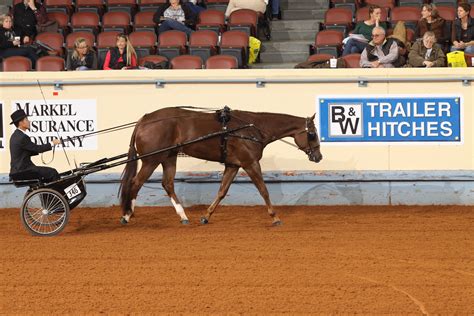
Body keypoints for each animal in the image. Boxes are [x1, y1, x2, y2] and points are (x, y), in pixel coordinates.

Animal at [120, 107, 324, 226]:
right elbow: (263, 190)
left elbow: (222, 191)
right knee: (136, 182)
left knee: (167, 184)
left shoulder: (233, 165)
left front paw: (206, 216)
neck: (251, 128)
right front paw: (275, 217)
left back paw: (183, 217)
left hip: (169, 157)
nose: (319, 156)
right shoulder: (250, 163)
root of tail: (145, 119)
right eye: (312, 134)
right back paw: (127, 215)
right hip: (151, 160)